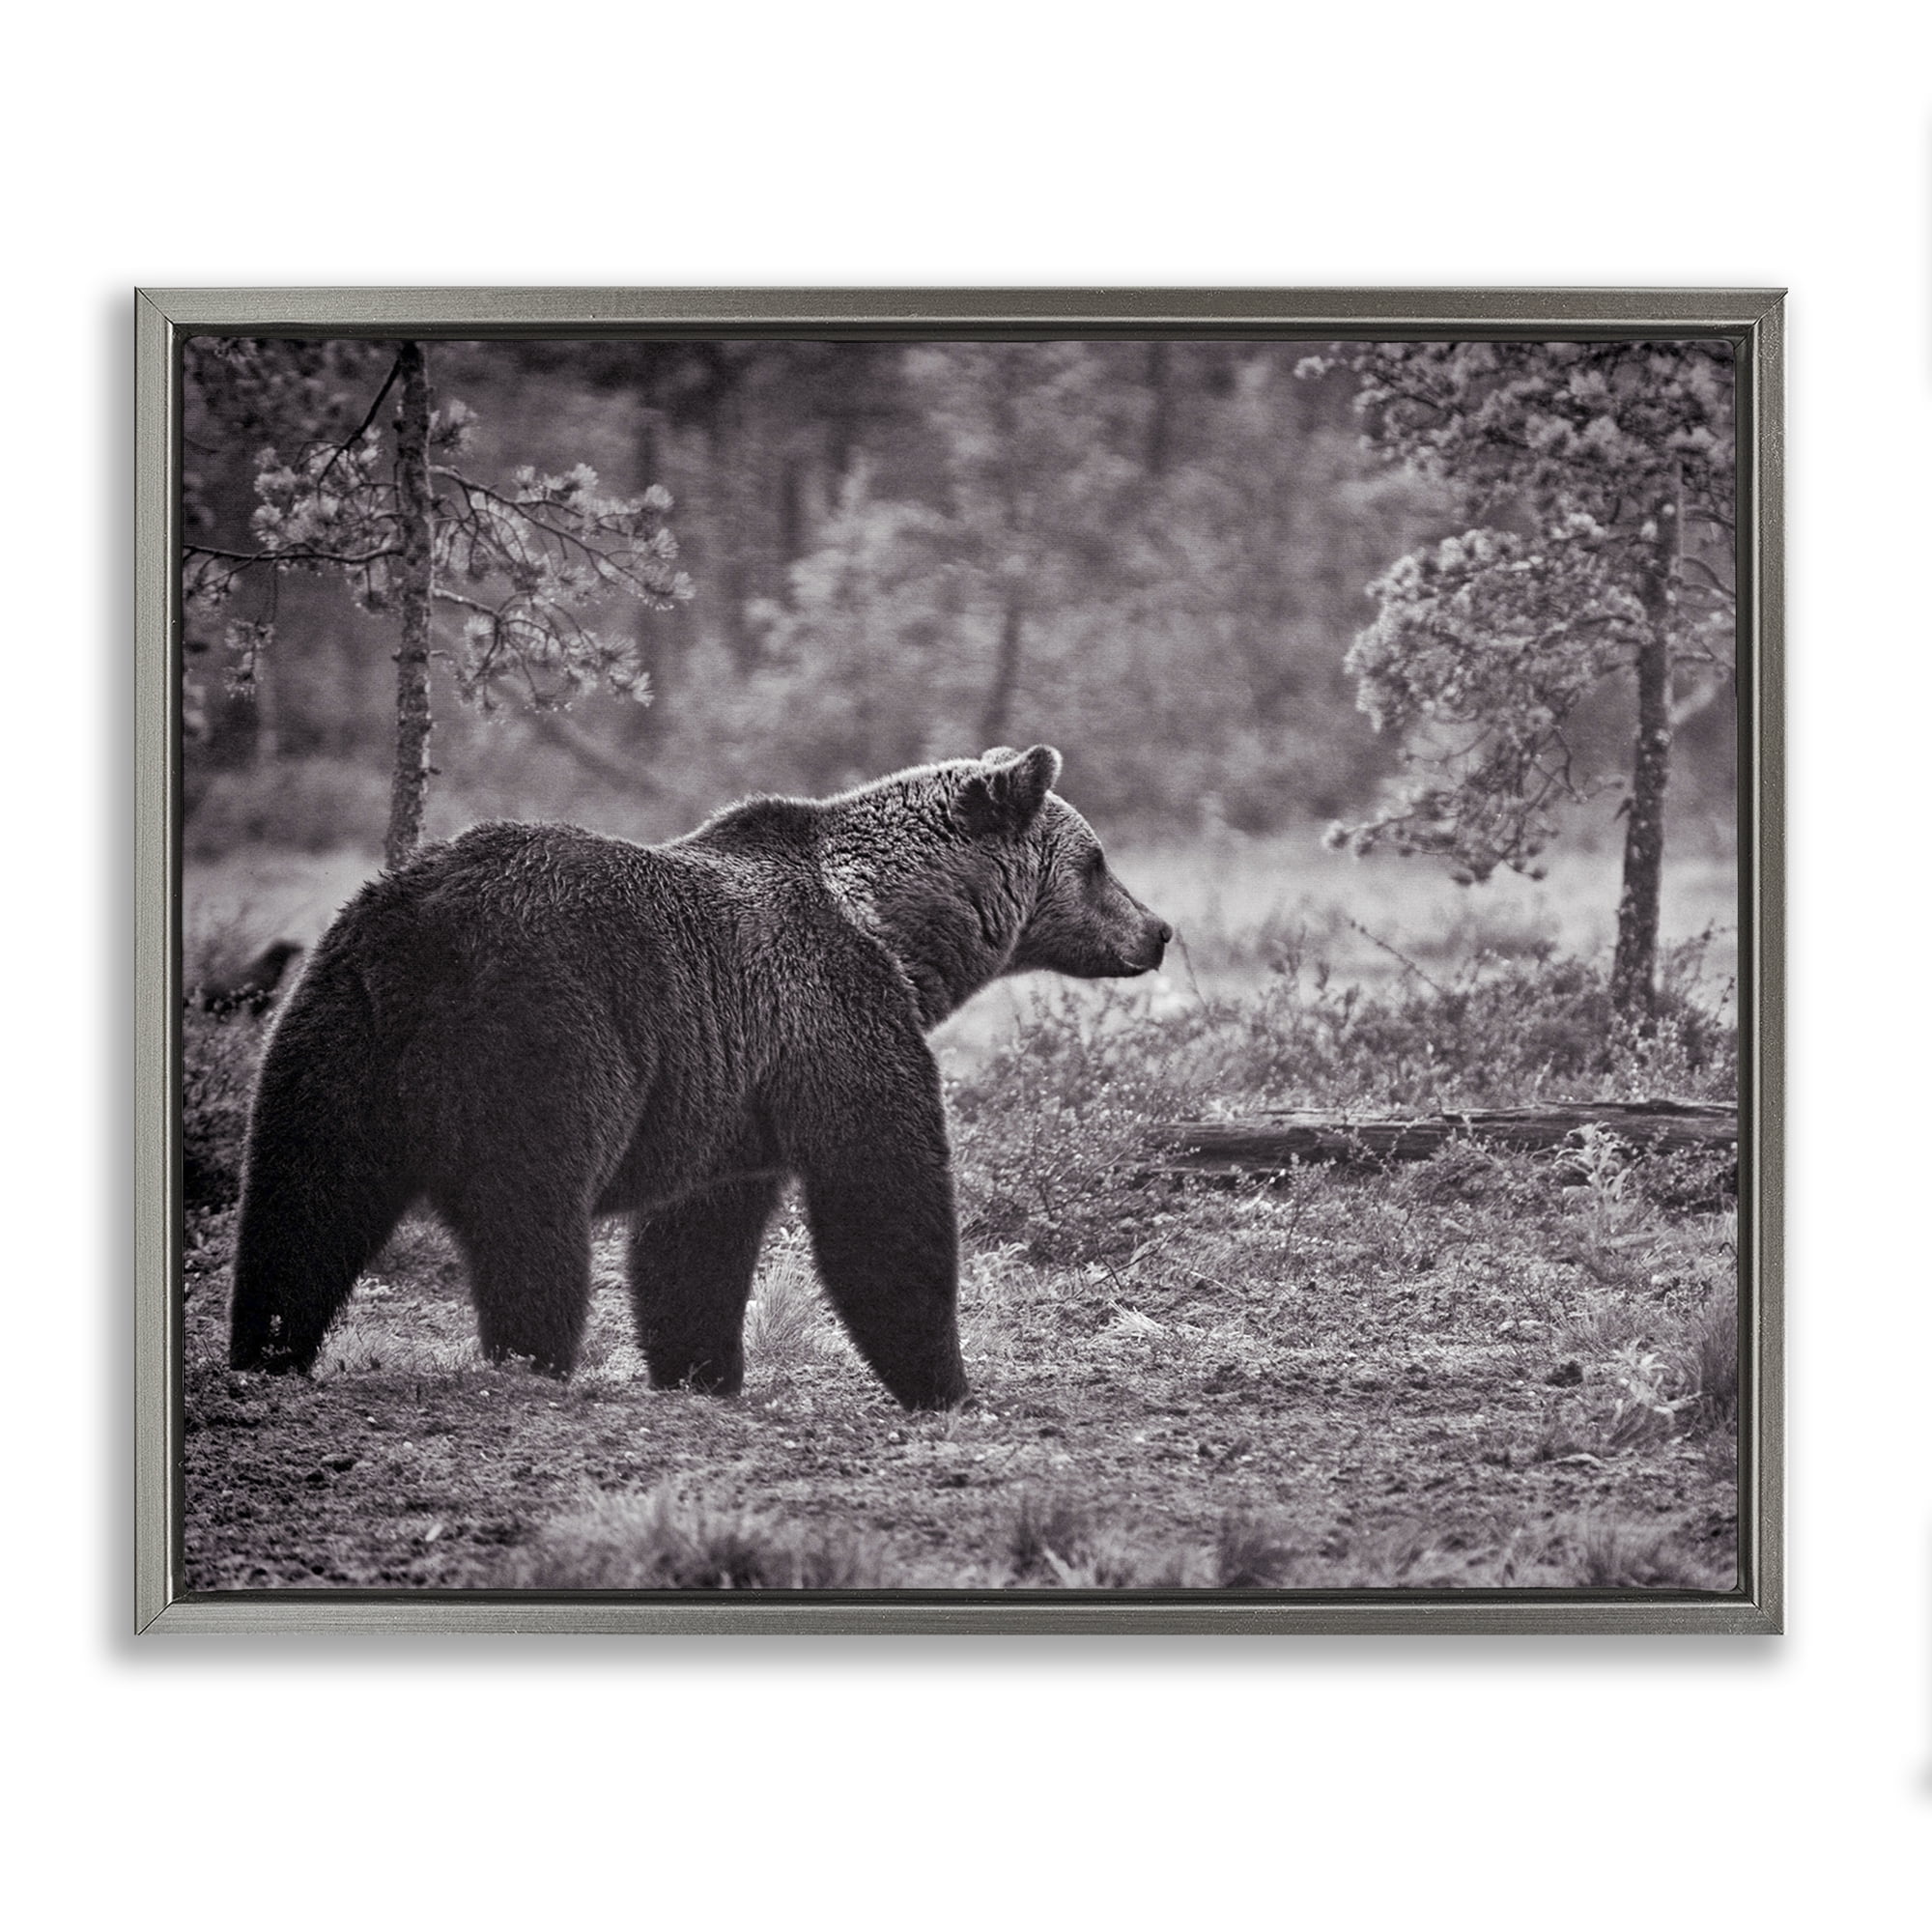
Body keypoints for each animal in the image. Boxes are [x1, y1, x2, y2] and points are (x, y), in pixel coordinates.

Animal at [227, 745, 1171, 1409]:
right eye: (1096, 861)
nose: (1158, 930)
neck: (893, 929)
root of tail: (418, 929)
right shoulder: (833, 1017)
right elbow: (883, 1193)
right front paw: (943, 1381)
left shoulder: (730, 1089)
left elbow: (696, 1239)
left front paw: (700, 1368)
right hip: (544, 1031)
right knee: (530, 1215)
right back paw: (532, 1358)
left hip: (332, 1031)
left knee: (301, 1203)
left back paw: (267, 1349)